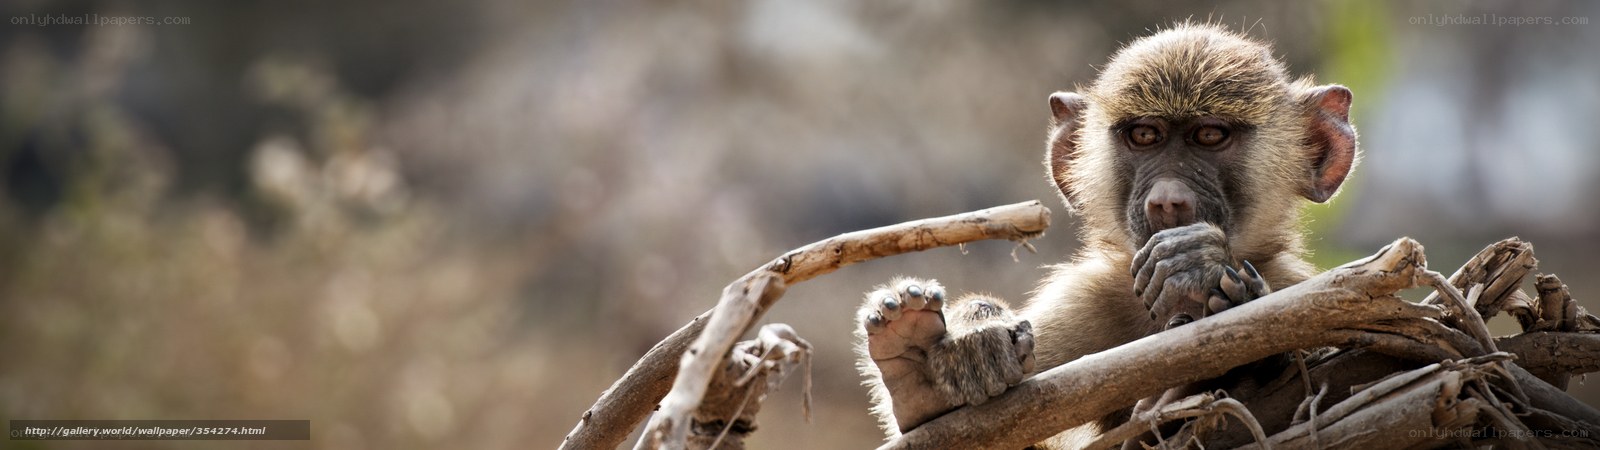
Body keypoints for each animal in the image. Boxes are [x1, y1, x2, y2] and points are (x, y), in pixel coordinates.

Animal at [854, 23, 1358, 448]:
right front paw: (971, 335)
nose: (1167, 201)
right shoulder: (1086, 299)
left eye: (1210, 136)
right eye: (1145, 135)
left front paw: (1196, 263)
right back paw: (913, 376)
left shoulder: (1301, 288)